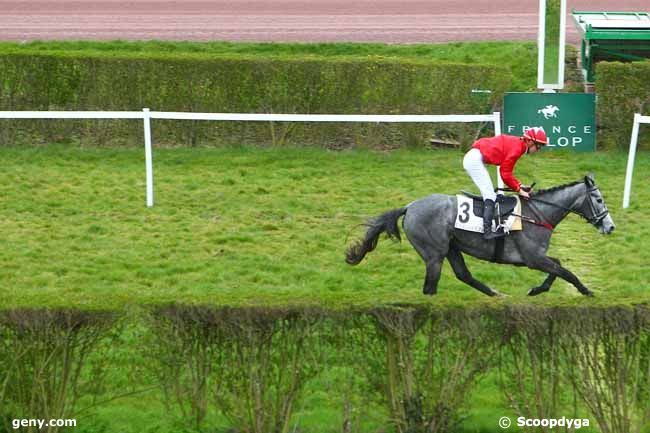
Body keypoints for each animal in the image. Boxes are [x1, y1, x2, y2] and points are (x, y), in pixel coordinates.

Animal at [344, 174, 612, 296]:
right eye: (599, 199)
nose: (610, 227)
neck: (537, 213)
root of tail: (409, 207)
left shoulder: (535, 258)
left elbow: (558, 266)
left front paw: (538, 289)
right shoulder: (532, 259)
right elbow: (565, 271)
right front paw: (586, 291)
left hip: (451, 248)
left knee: (463, 275)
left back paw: (496, 294)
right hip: (434, 253)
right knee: (431, 286)